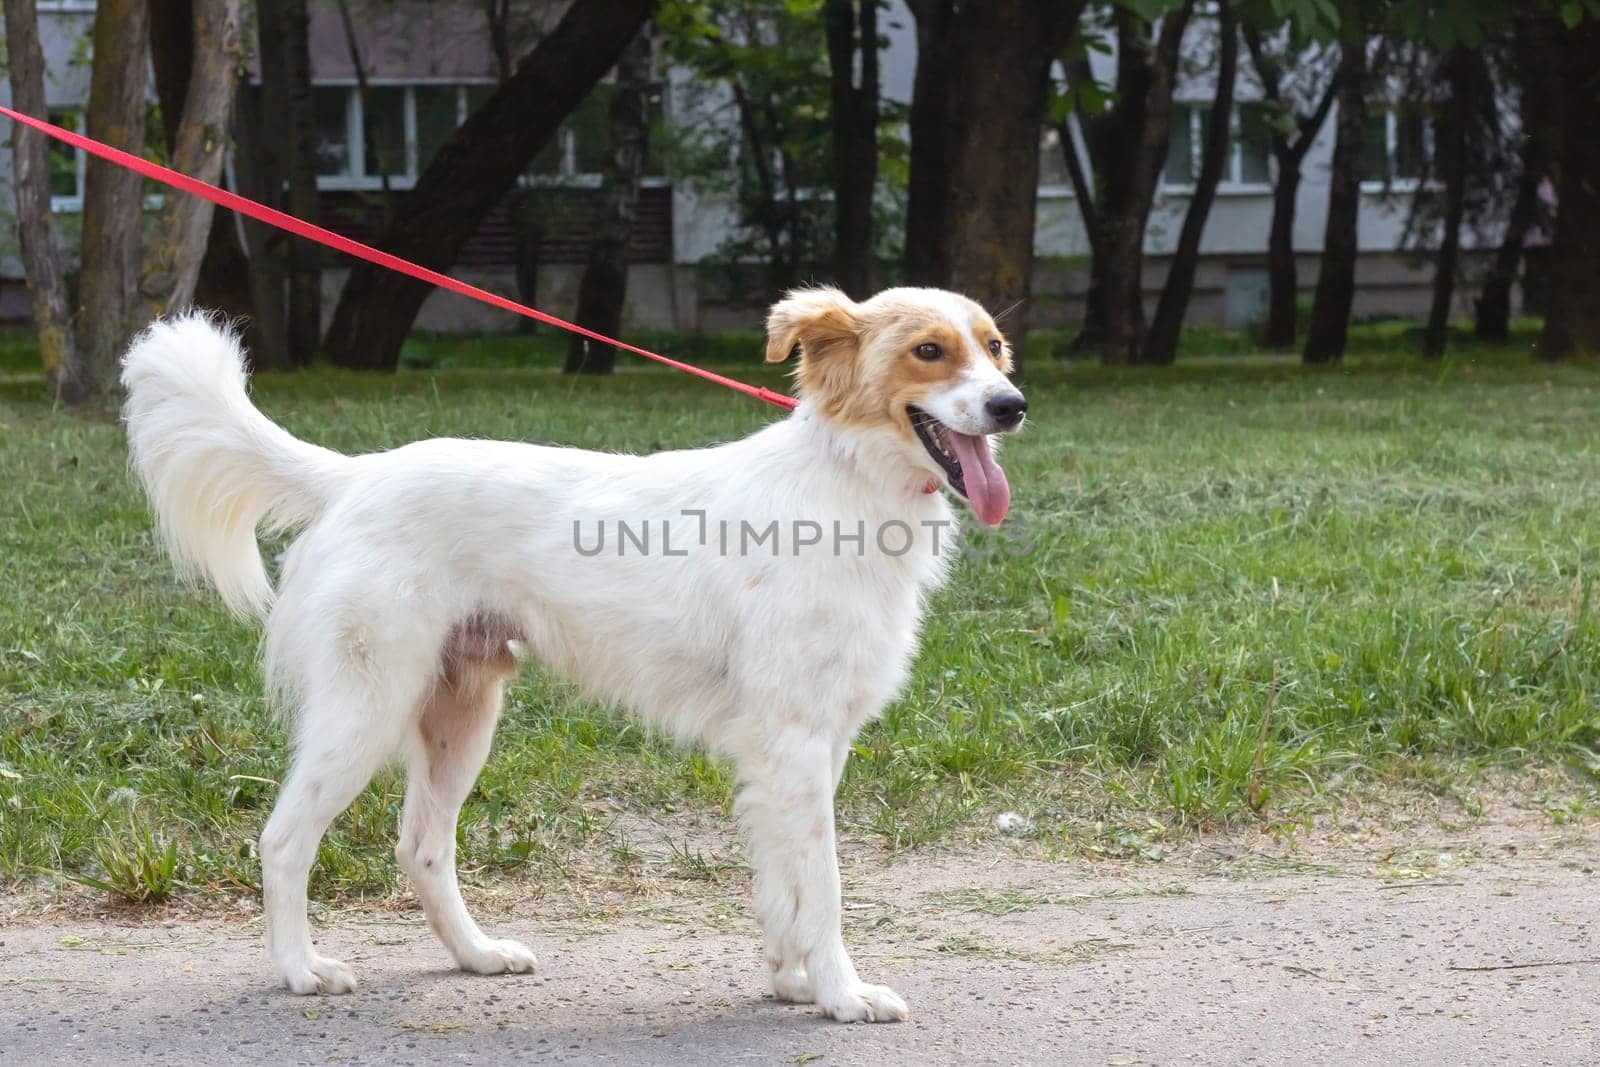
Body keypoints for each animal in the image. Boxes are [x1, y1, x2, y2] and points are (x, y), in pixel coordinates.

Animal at [121, 287, 1024, 1023]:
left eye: (995, 345)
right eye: (930, 350)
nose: (1012, 405)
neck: (843, 484)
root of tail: (356, 476)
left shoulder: (801, 750)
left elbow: (783, 885)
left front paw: (792, 981)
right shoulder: (796, 743)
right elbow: (826, 888)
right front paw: (841, 994)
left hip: (461, 716)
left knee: (421, 846)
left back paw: (476, 955)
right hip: (366, 709)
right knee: (283, 839)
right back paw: (301, 969)